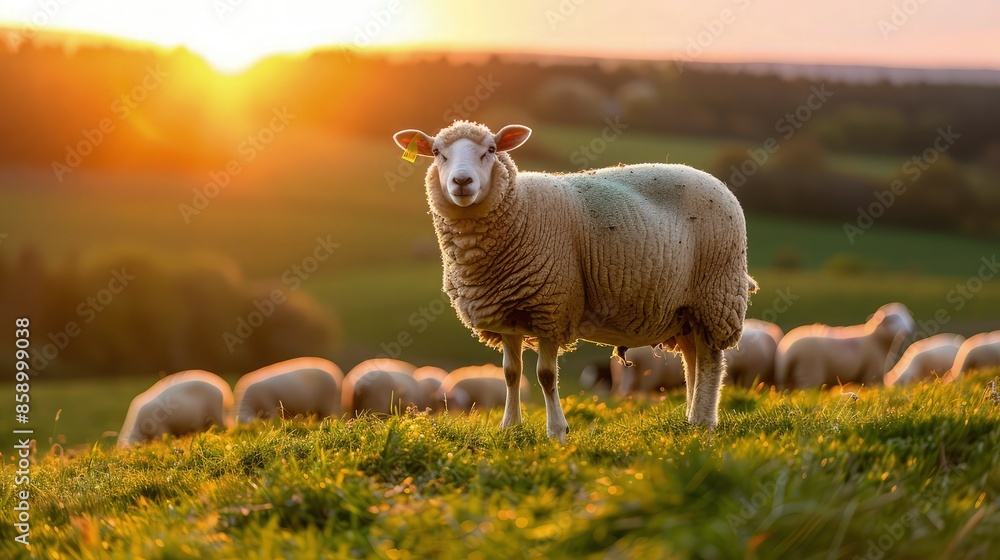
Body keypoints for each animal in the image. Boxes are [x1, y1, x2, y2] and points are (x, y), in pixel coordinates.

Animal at [393, 121, 754, 441]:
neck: (521, 210)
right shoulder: (506, 314)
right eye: (437, 152)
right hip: (685, 309)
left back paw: (704, 422)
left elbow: (545, 375)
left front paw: (557, 432)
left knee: (710, 361)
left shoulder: (551, 307)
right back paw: (690, 420)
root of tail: (718, 184)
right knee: (693, 359)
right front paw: (510, 428)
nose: (462, 181)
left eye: (491, 150)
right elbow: (511, 374)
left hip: (716, 294)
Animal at [775, 302, 915, 390]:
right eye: (893, 320)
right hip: (809, 373)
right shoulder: (872, 374)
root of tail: (788, 352)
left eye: (907, 317)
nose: (910, 329)